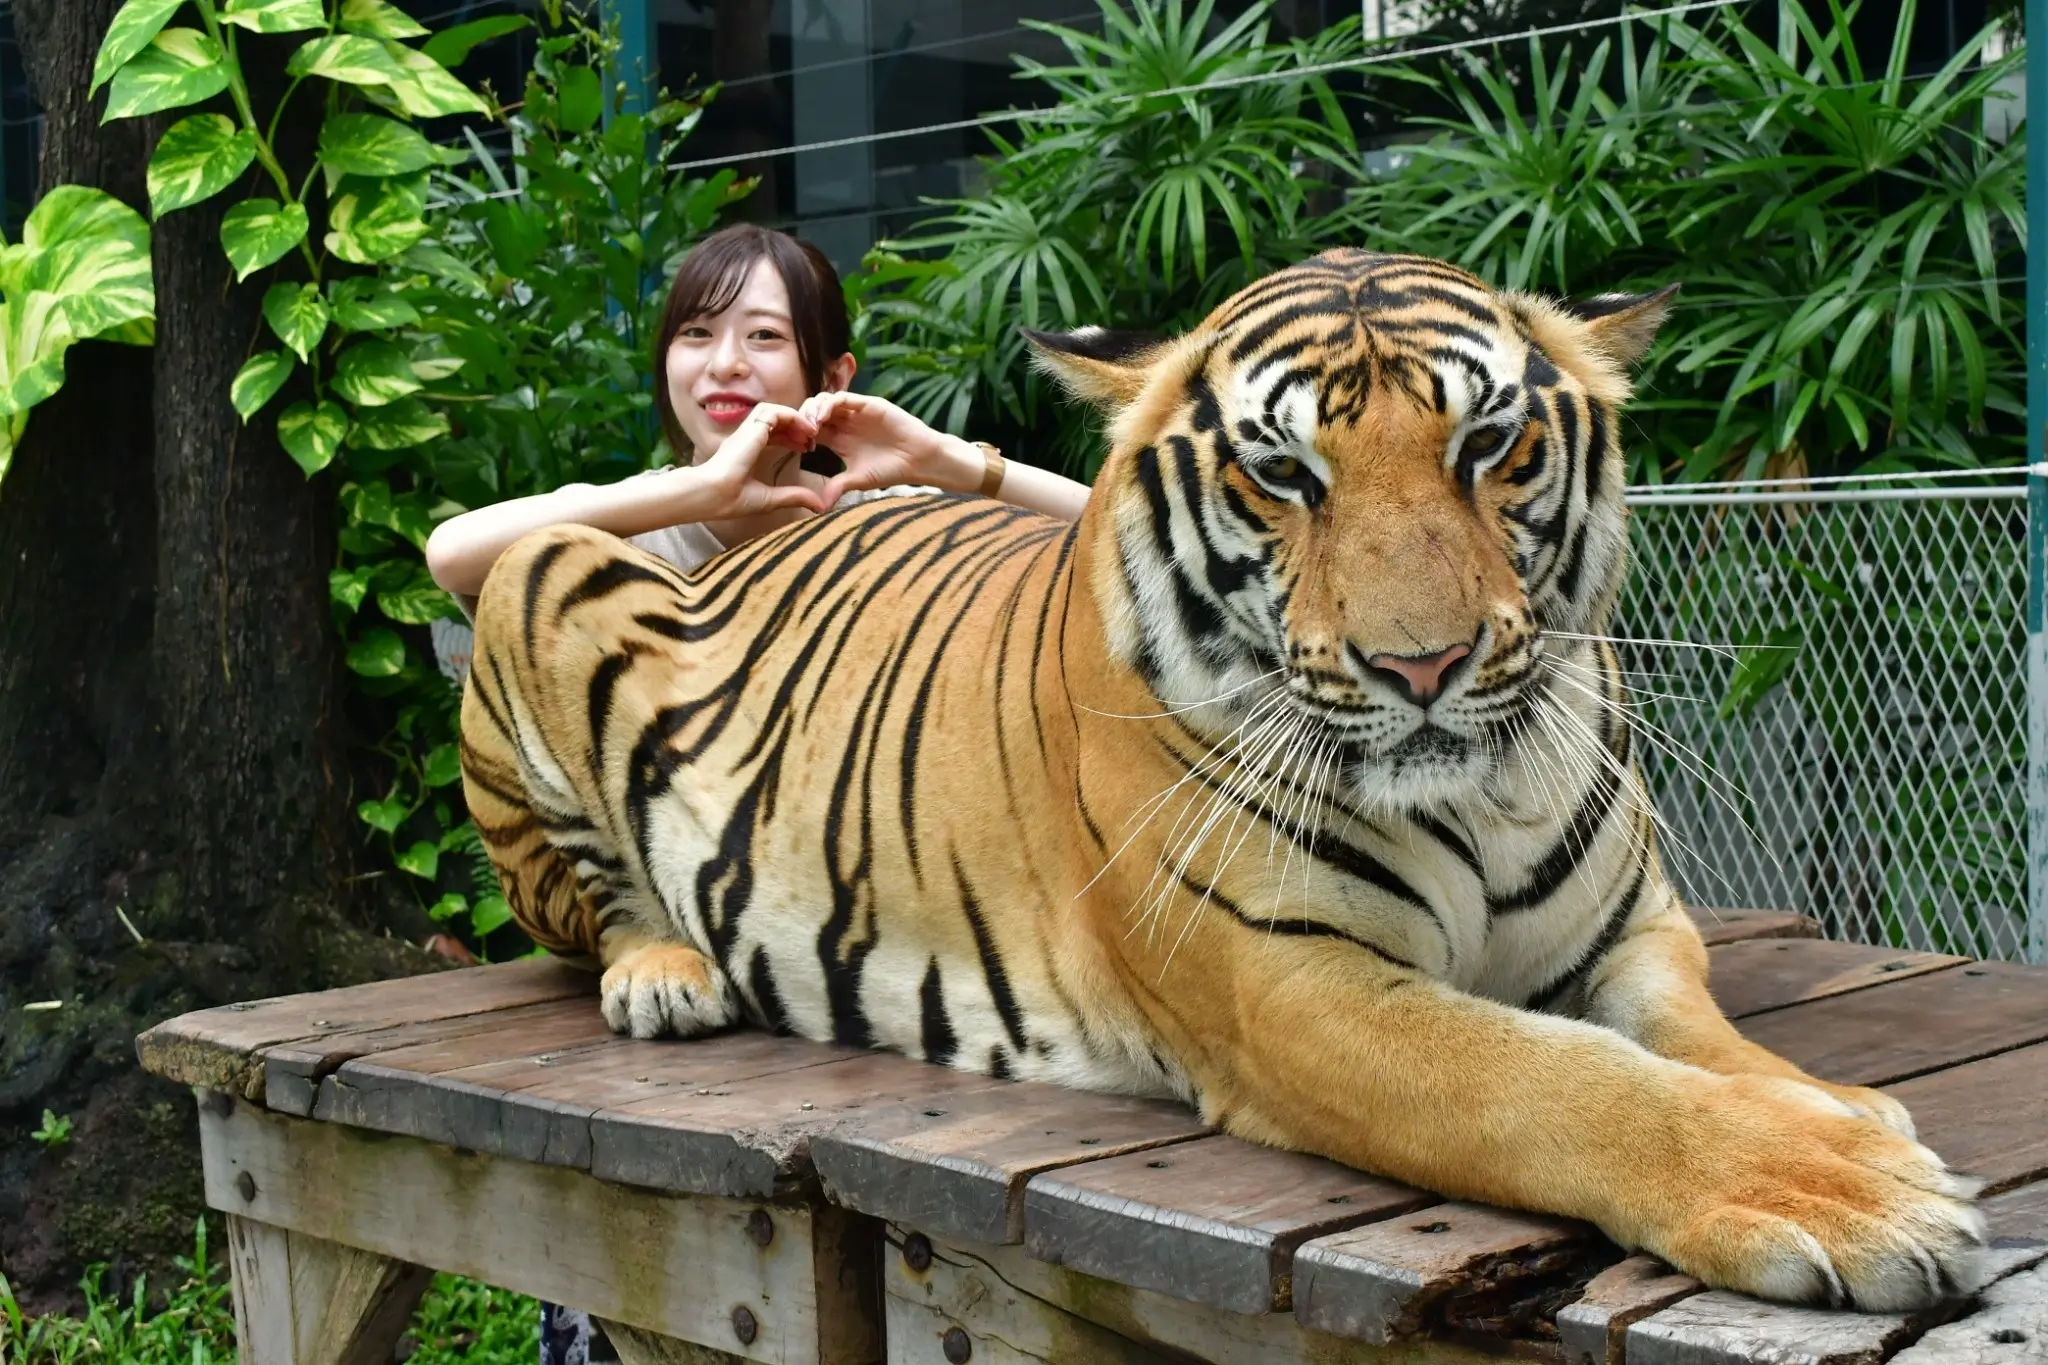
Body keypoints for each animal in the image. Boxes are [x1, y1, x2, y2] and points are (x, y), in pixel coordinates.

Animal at [460, 247, 1983, 1310]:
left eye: (1487, 445)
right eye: (1282, 472)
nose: (1421, 666)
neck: (1477, 795)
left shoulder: (1632, 934)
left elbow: (1695, 1038)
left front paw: (1842, 1113)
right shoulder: (1288, 986)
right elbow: (1556, 1085)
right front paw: (1841, 1190)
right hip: (546, 577)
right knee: (596, 896)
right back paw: (667, 974)